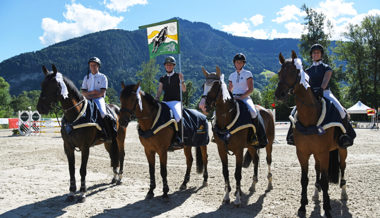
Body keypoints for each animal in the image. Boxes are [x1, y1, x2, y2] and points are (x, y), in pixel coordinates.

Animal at [36, 64, 127, 203]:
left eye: (55, 86)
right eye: (42, 84)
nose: (40, 108)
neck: (75, 115)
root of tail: (116, 108)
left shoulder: (85, 147)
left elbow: (82, 170)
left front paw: (83, 193)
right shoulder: (68, 146)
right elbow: (71, 170)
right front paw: (71, 192)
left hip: (120, 139)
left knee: (121, 155)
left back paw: (120, 178)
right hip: (109, 142)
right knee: (113, 156)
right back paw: (114, 177)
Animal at [202, 67, 274, 207]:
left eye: (215, 86)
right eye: (203, 86)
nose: (202, 106)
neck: (227, 119)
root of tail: (266, 110)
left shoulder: (239, 150)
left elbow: (237, 173)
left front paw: (237, 198)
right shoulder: (221, 149)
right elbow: (225, 172)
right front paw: (227, 196)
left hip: (269, 143)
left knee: (268, 160)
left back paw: (269, 184)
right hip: (251, 146)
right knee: (256, 159)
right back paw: (253, 185)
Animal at [274, 50, 348, 216]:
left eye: (294, 72)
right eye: (280, 72)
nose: (279, 94)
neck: (309, 117)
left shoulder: (324, 153)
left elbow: (326, 181)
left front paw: (327, 208)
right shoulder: (302, 152)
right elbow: (304, 179)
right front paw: (302, 206)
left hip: (342, 149)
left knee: (343, 167)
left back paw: (343, 193)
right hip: (316, 154)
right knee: (318, 169)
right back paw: (315, 193)